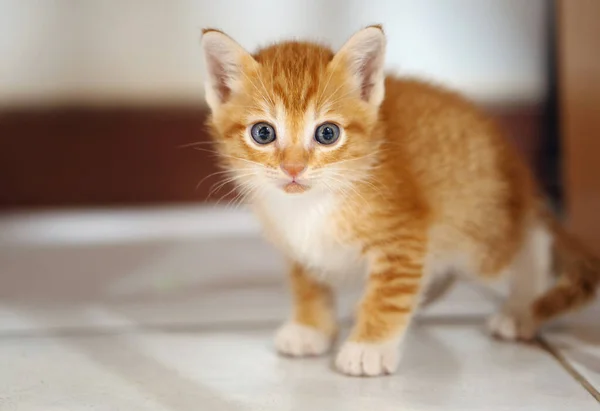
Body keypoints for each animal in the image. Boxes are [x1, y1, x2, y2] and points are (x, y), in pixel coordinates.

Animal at [202, 25, 600, 378]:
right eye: (263, 133)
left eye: (327, 133)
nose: (293, 168)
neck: (315, 203)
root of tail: (519, 171)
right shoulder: (297, 244)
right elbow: (309, 283)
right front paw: (311, 327)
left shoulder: (403, 233)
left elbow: (389, 293)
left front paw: (369, 348)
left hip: (479, 233)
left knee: (530, 241)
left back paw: (521, 309)